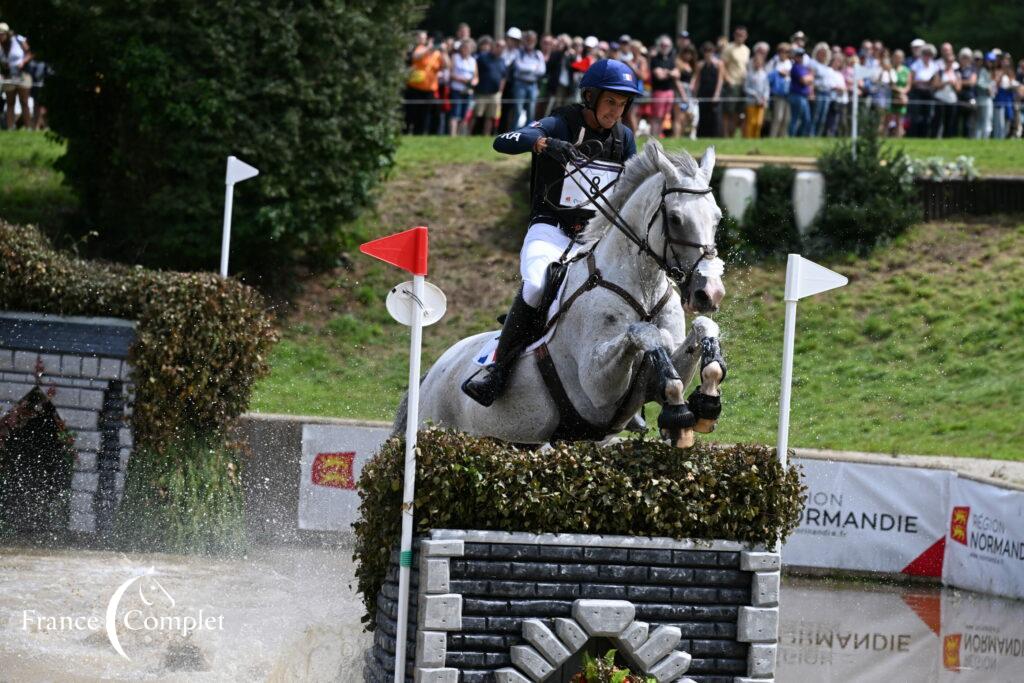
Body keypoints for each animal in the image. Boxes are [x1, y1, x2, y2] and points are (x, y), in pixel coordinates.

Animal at [397, 139, 729, 448]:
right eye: (675, 218)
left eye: (717, 218)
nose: (709, 293)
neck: (642, 288)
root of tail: (431, 374)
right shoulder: (596, 386)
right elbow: (645, 333)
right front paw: (679, 415)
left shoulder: (650, 379)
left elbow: (703, 330)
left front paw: (706, 404)